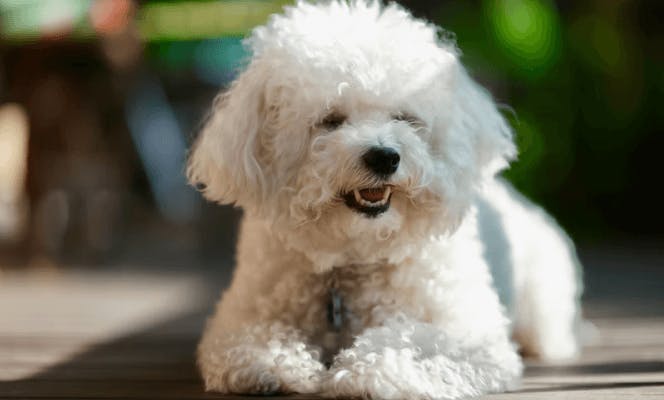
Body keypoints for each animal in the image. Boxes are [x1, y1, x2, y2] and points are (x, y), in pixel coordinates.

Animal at [187, 1, 580, 398]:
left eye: (404, 118)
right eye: (330, 120)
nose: (384, 156)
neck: (356, 256)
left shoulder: (467, 331)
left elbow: (411, 340)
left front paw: (368, 372)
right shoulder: (242, 314)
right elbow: (252, 338)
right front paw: (274, 363)